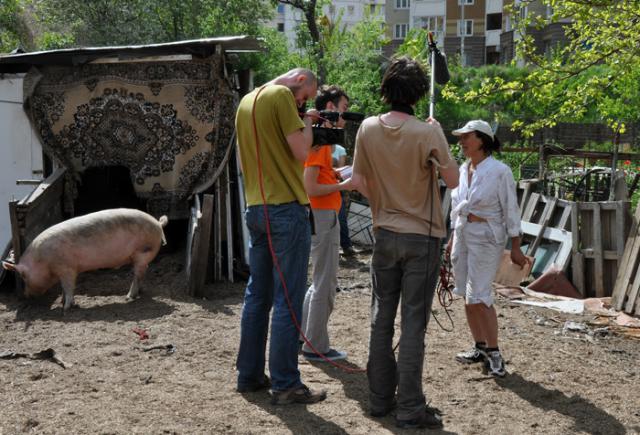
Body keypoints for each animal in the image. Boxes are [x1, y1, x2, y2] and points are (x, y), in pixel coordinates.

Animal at [0, 209, 170, 314]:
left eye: (23, 277)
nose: (26, 295)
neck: (43, 260)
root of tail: (158, 223)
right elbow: (64, 288)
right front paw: (63, 302)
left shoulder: (67, 268)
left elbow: (68, 287)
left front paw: (66, 308)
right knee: (142, 274)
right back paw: (138, 293)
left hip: (142, 252)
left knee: (137, 275)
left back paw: (128, 297)